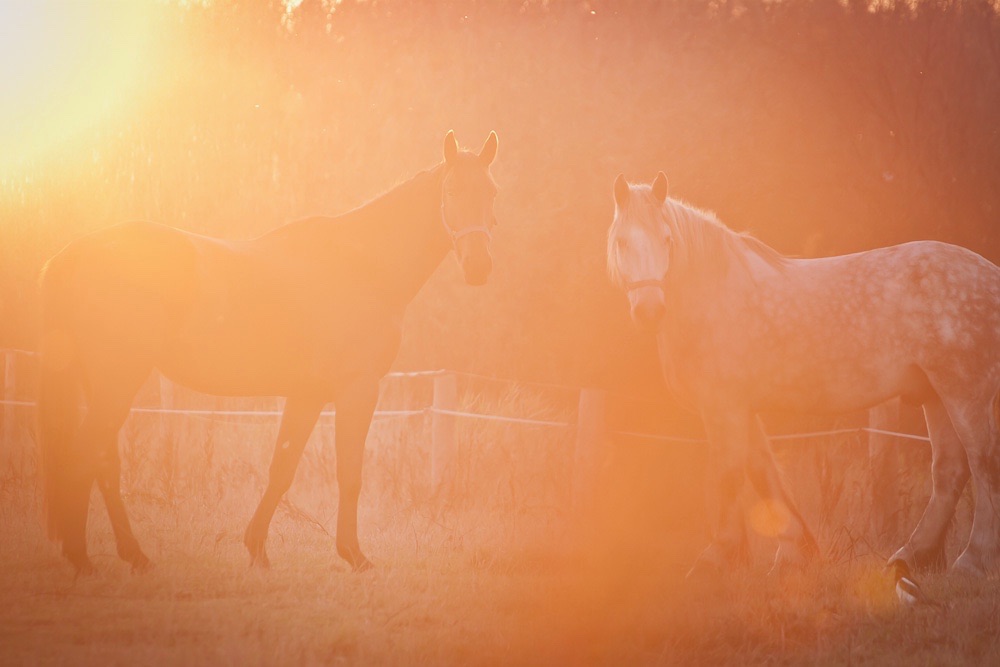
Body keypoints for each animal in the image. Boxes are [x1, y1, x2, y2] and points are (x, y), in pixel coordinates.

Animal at [604, 175, 1000, 576]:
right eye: (621, 242)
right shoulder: (742, 408)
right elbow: (763, 471)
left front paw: (716, 557)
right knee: (949, 471)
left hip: (964, 393)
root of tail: (990, 274)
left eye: (667, 239)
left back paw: (972, 560)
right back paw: (909, 556)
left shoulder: (723, 408)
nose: (650, 310)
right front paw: (794, 552)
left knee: (983, 464)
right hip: (936, 395)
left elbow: (730, 474)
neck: (713, 298)